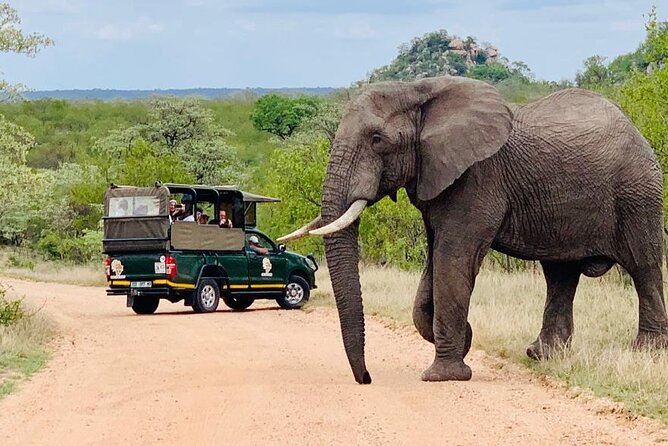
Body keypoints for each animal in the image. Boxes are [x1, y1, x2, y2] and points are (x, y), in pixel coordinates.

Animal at [278, 76, 668, 384]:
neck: (419, 90)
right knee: (561, 276)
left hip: (637, 192)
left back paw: (647, 352)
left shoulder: (477, 178)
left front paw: (444, 375)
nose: (366, 378)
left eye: (377, 140)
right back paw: (542, 355)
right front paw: (461, 339)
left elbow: (453, 259)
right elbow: (433, 267)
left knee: (643, 267)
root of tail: (634, 128)